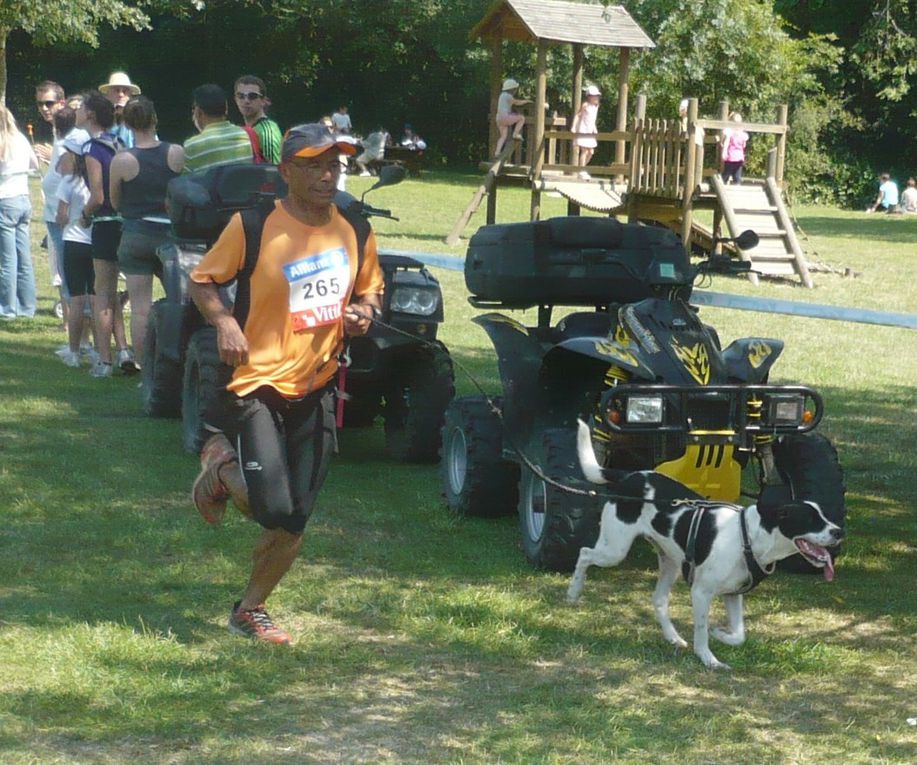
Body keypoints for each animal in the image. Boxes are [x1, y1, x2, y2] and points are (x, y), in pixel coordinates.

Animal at [564, 420, 844, 664]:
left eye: (823, 515)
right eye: (810, 520)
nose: (838, 532)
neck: (748, 538)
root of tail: (629, 476)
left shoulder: (733, 594)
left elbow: (739, 635)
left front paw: (721, 634)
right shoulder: (701, 592)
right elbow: (700, 629)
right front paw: (708, 658)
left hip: (670, 563)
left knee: (658, 600)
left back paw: (673, 637)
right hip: (615, 550)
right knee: (584, 553)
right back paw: (574, 591)